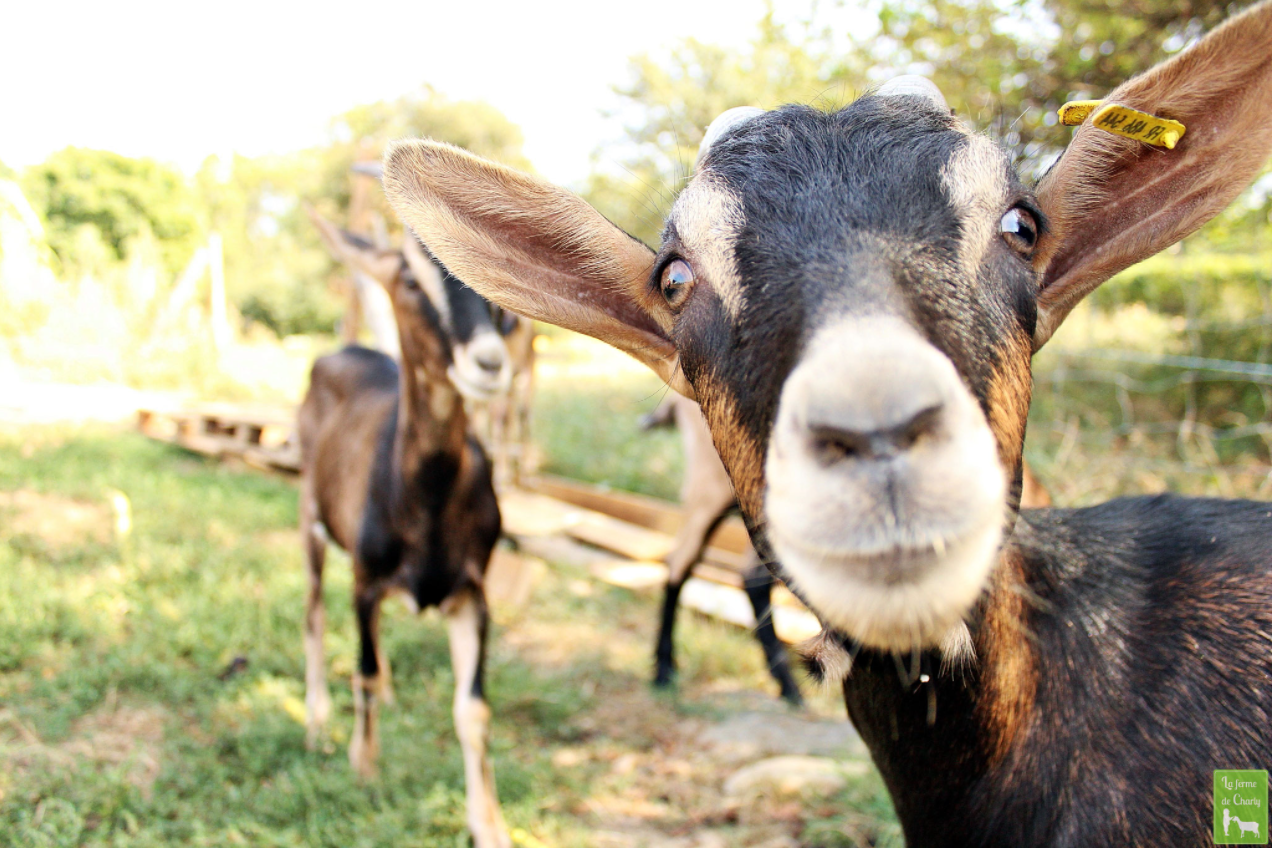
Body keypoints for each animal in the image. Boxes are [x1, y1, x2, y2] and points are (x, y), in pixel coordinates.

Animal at [297, 211, 511, 845]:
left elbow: (473, 709)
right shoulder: (365, 583)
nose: (489, 363)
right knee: (313, 614)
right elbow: (362, 672)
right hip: (308, 516)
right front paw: (362, 765)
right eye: (413, 280)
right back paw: (316, 722)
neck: (425, 501)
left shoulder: (472, 592)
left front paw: (489, 824)